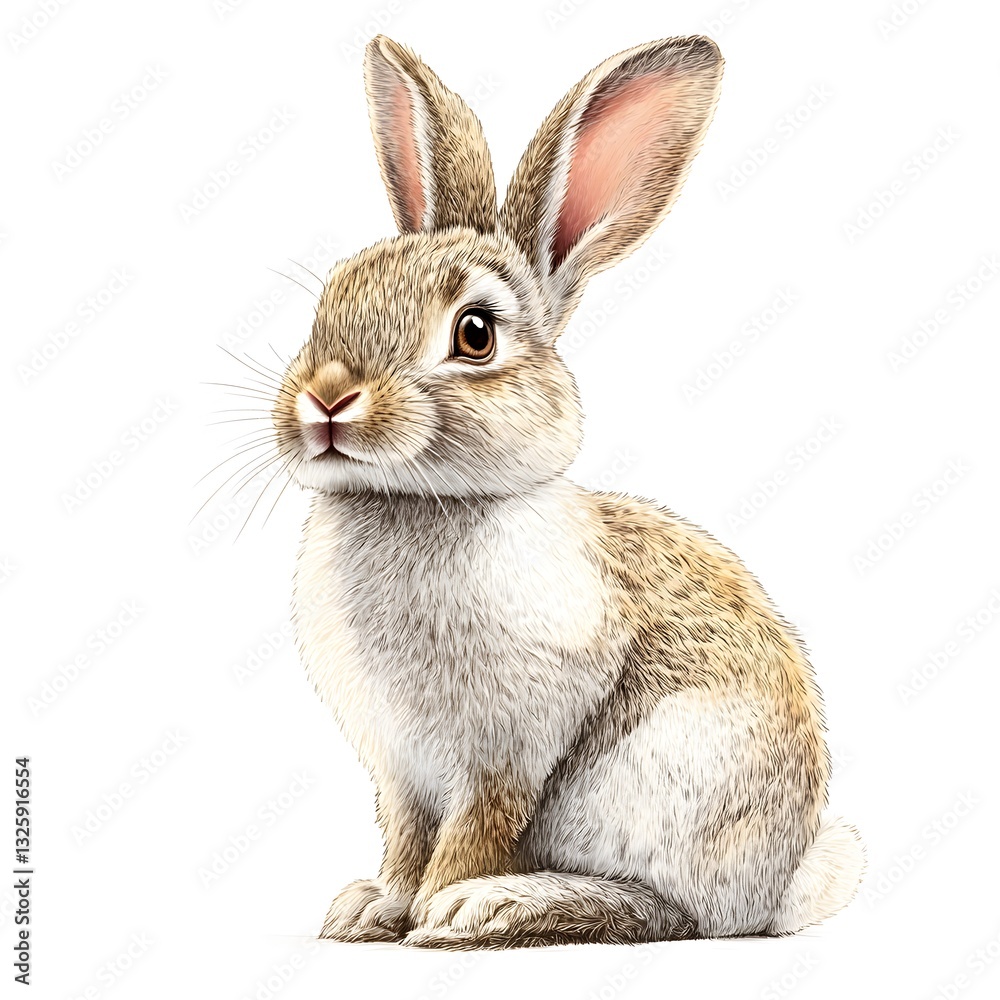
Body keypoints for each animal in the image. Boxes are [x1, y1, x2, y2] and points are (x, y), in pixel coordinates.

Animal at [267, 34, 864, 949]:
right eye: (332, 296)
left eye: (475, 334)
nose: (327, 397)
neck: (421, 504)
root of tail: (784, 886)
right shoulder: (399, 767)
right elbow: (402, 835)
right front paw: (373, 907)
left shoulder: (507, 750)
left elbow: (473, 832)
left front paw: (438, 909)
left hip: (661, 777)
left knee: (668, 914)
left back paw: (504, 906)